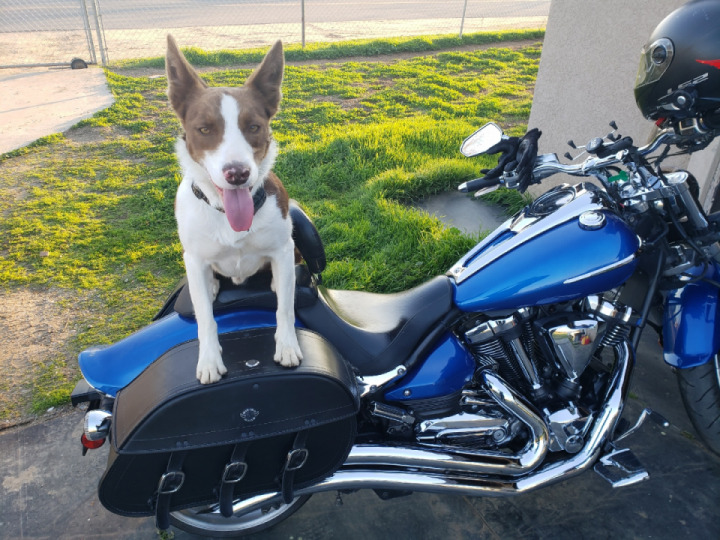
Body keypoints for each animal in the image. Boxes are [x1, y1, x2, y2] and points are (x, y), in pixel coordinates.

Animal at [165, 35, 300, 382]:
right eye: (204, 129)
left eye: (253, 127)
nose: (237, 173)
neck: (227, 215)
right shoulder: (195, 258)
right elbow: (205, 319)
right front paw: (209, 360)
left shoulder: (282, 246)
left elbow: (285, 307)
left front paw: (287, 346)